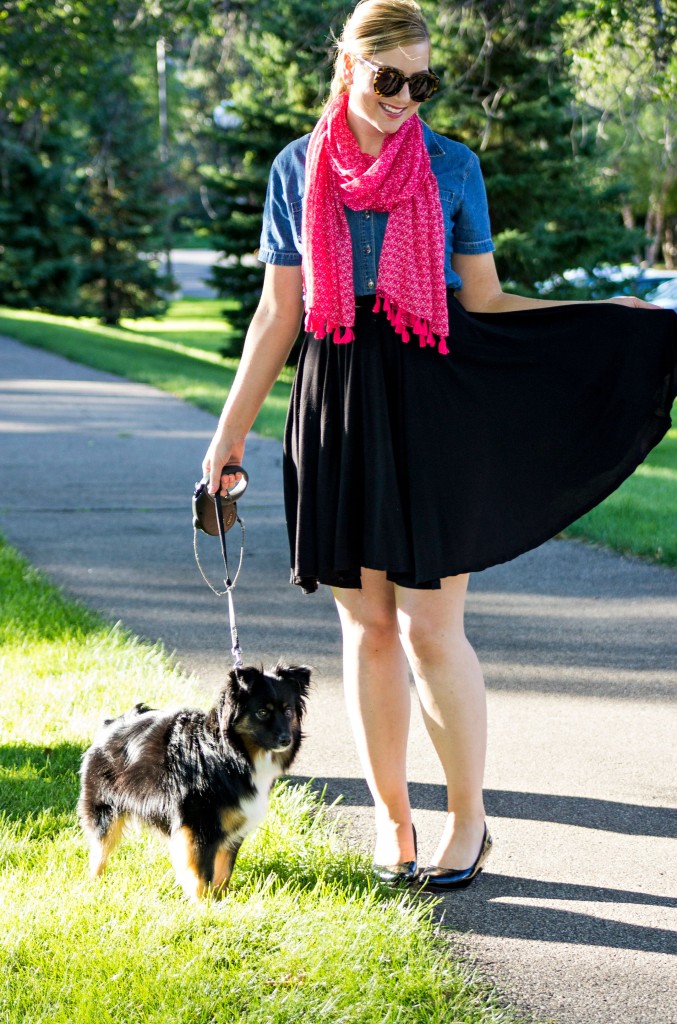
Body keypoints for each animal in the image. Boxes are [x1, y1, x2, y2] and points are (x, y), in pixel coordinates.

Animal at [77, 663, 309, 897]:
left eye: (288, 711)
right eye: (262, 713)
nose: (286, 739)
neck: (230, 755)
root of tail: (110, 724)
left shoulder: (233, 826)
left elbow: (224, 871)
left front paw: (221, 900)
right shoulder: (198, 826)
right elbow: (201, 873)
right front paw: (203, 902)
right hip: (105, 808)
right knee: (100, 849)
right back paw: (94, 884)